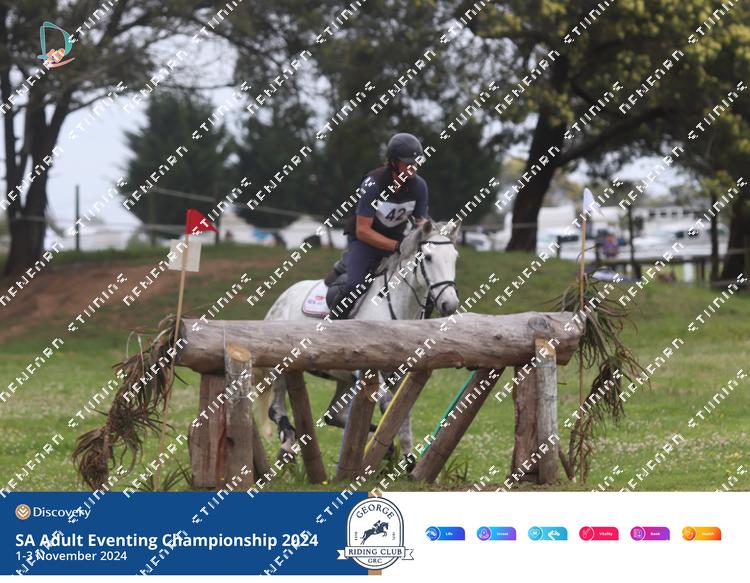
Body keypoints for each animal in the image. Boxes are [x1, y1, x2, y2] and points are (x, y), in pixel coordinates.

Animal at [256, 219, 461, 463]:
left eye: (455, 256)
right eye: (428, 258)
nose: (450, 304)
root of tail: (283, 297)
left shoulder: (400, 375)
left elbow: (403, 414)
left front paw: (407, 460)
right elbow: (387, 405)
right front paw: (386, 449)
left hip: (343, 378)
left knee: (333, 415)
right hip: (281, 365)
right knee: (276, 407)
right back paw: (288, 438)